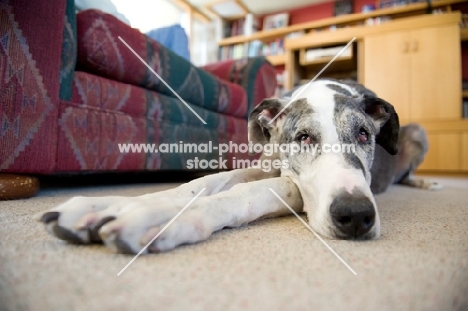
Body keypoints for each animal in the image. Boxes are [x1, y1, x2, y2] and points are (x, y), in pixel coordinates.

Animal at [38, 79, 440, 255]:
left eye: (363, 134)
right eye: (304, 137)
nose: (356, 216)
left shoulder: (295, 185)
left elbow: (252, 191)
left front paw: (158, 217)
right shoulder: (266, 163)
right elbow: (209, 181)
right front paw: (104, 204)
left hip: (420, 133)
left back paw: (427, 184)